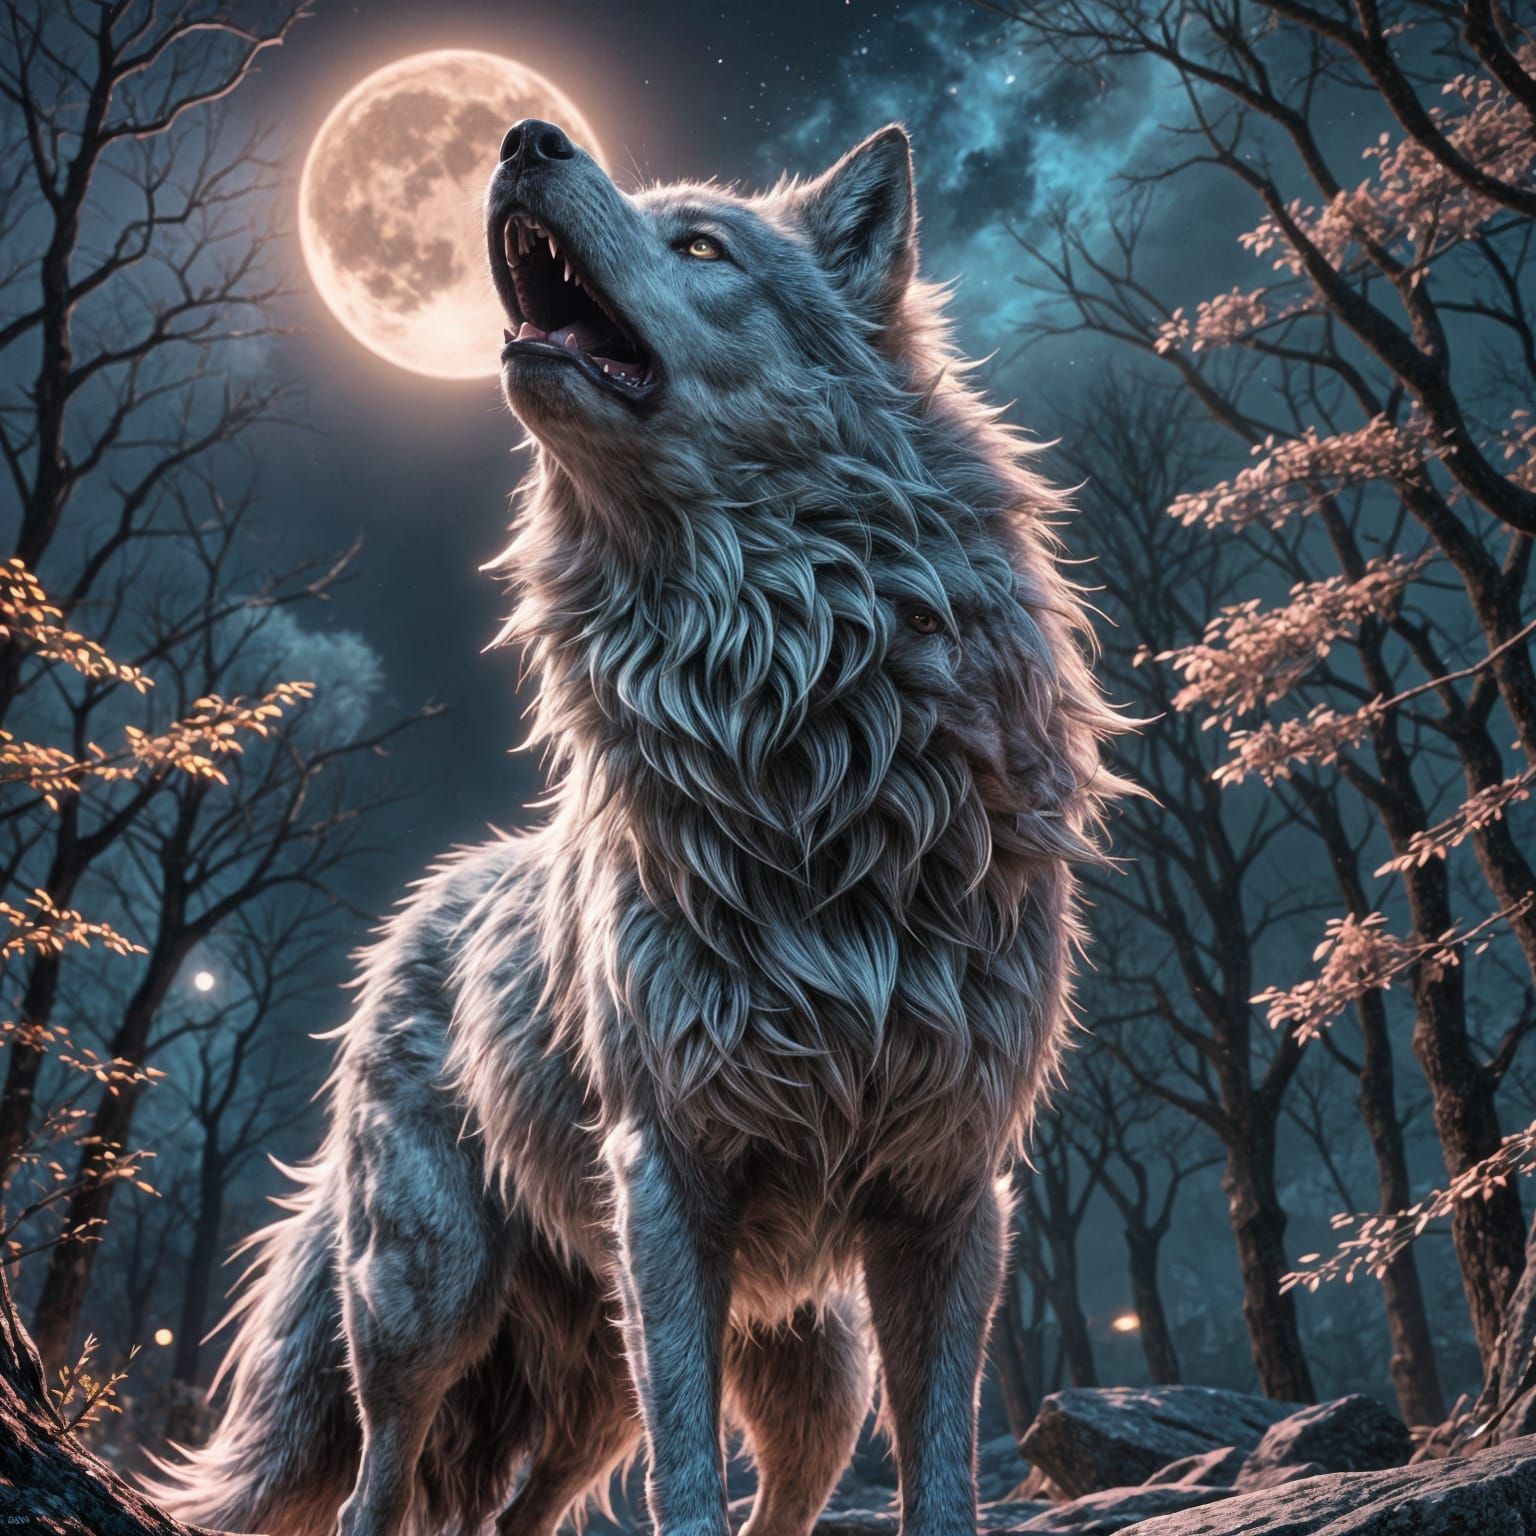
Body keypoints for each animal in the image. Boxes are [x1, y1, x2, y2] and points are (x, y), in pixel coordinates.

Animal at [149, 119, 1125, 1536]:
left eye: (702, 246)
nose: (524, 135)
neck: (796, 743)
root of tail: (428, 898)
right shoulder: (667, 1176)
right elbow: (687, 1479)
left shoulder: (950, 1191)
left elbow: (940, 1478)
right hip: (431, 1296)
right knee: (375, 1489)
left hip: (786, 1375)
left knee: (590, 1507)